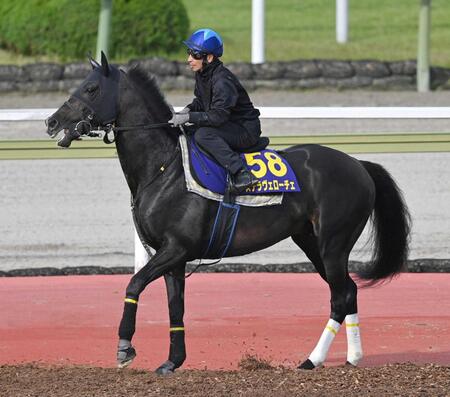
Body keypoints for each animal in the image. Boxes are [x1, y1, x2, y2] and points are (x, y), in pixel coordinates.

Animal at [46, 53, 412, 374]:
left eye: (91, 88)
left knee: (340, 296)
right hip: (312, 242)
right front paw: (172, 361)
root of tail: (359, 166)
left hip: (333, 243)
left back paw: (313, 359)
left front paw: (125, 348)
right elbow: (175, 308)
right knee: (348, 291)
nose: (51, 121)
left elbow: (134, 284)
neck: (163, 168)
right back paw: (352, 356)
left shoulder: (175, 248)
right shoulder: (173, 257)